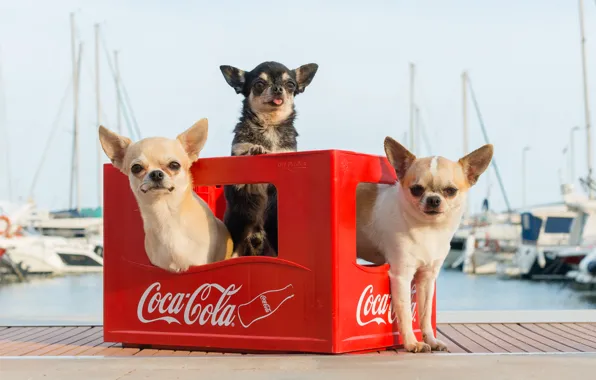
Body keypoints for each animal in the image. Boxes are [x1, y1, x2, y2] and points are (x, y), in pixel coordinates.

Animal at [219, 60, 318, 256]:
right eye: (259, 84)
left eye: (290, 85)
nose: (278, 88)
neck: (270, 125)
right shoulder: (239, 177)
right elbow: (245, 155)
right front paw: (255, 150)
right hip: (236, 231)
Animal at [356, 137, 492, 354]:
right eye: (416, 189)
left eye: (451, 191)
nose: (434, 199)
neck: (429, 230)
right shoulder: (401, 276)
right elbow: (404, 312)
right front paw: (412, 343)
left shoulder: (427, 278)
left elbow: (425, 313)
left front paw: (431, 339)